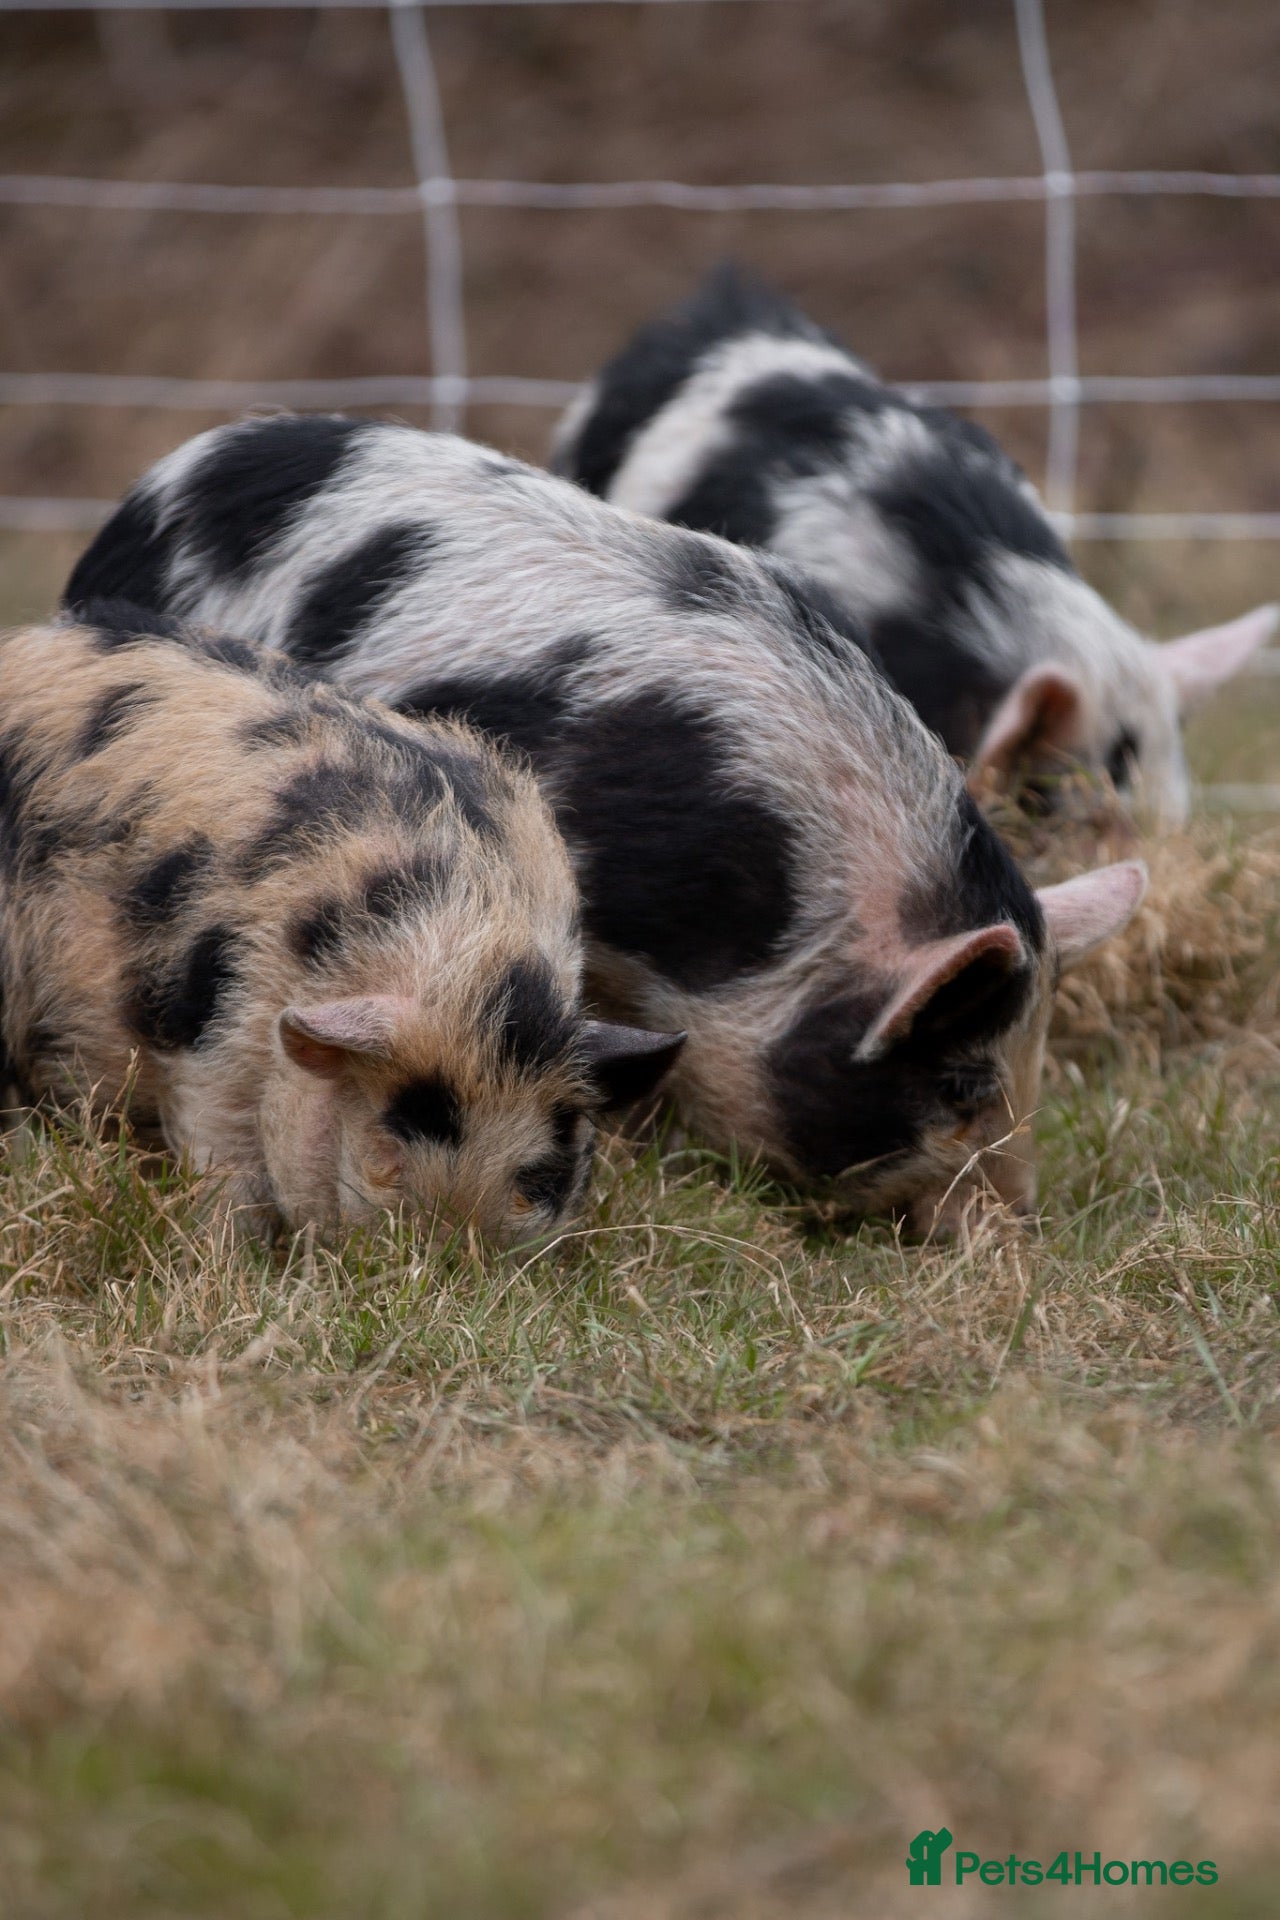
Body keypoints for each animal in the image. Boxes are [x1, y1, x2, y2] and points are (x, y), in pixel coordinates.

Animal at [0, 605, 682, 1242]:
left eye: (541, 1176)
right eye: (386, 1150)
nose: (447, 1256)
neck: (467, 965)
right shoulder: (212, 1033)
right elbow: (225, 1152)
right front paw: (236, 1250)